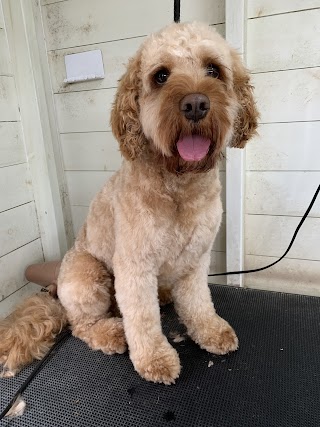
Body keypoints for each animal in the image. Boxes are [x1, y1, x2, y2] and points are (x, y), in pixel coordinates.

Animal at [0, 21, 258, 386]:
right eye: (161, 76)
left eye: (213, 70)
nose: (195, 104)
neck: (178, 182)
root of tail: (55, 289)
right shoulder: (134, 265)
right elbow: (142, 319)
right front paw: (155, 359)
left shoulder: (196, 258)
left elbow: (198, 302)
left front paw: (210, 331)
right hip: (88, 276)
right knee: (82, 324)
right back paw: (111, 332)